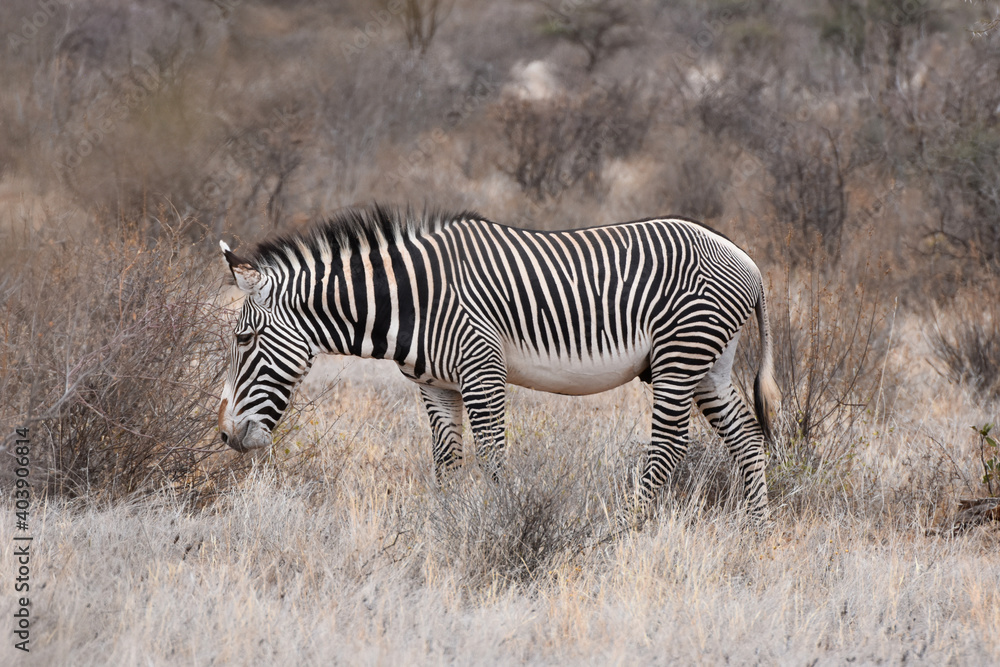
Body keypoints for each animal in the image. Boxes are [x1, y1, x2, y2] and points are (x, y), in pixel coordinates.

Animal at [217, 205, 780, 522]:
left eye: (243, 339)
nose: (225, 435)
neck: (414, 299)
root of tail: (747, 259)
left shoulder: (481, 369)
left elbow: (492, 459)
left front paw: (501, 522)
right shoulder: (435, 385)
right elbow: (446, 462)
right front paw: (444, 526)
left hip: (680, 354)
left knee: (668, 445)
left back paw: (627, 529)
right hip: (712, 363)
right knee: (748, 438)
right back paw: (756, 529)